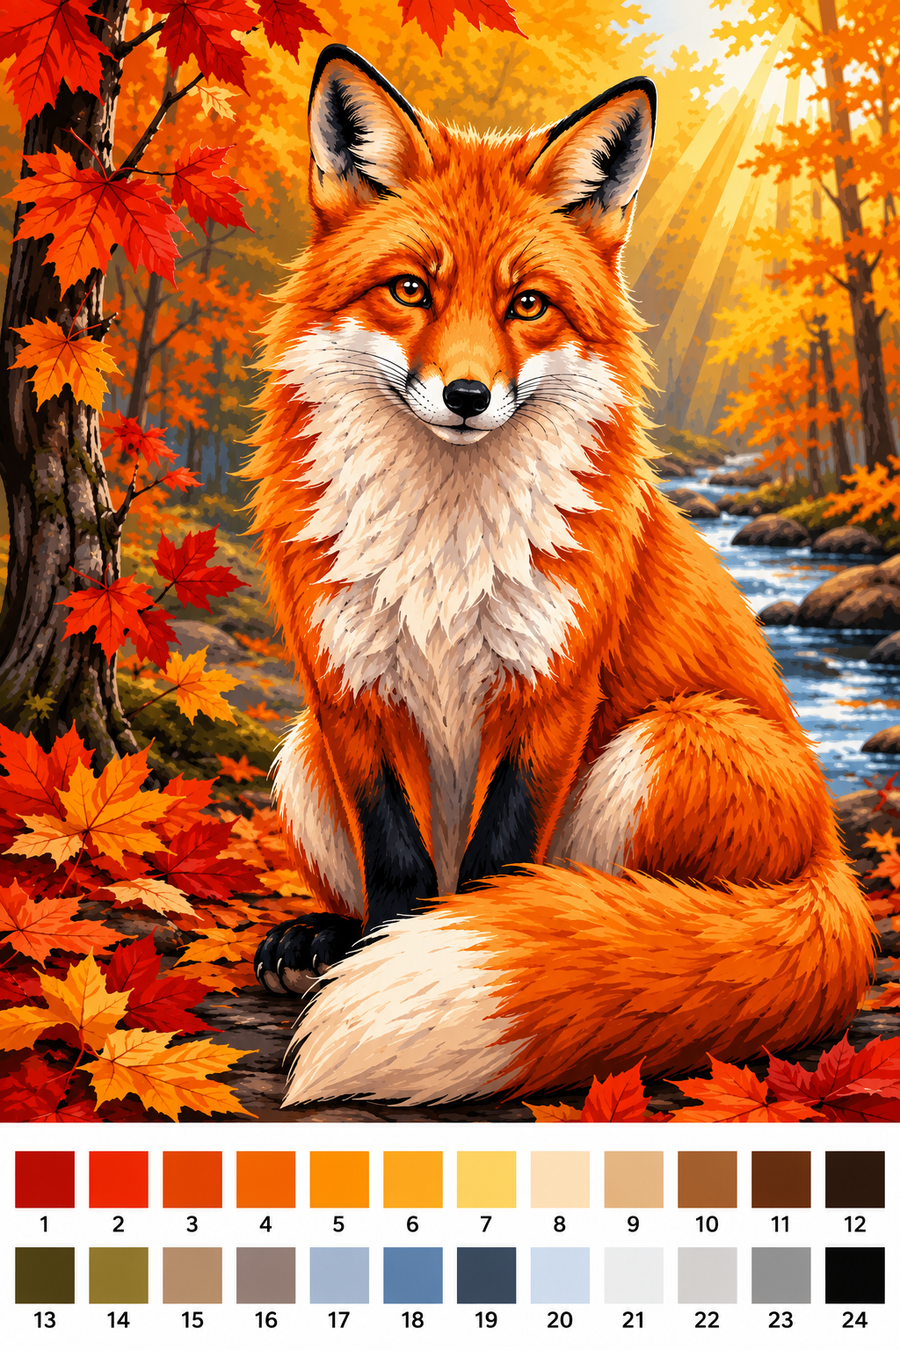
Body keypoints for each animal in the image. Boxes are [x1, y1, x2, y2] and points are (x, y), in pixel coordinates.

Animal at [244, 44, 874, 1107]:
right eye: (410, 290)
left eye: (526, 304)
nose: (466, 394)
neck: (444, 550)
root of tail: (835, 865)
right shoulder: (348, 689)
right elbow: (397, 862)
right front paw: (376, 950)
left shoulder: (552, 688)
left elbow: (499, 866)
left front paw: (462, 952)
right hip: (299, 754)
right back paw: (323, 938)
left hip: (670, 741)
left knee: (639, 909)